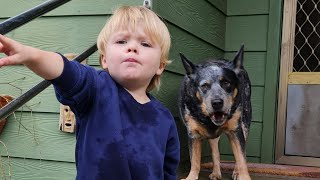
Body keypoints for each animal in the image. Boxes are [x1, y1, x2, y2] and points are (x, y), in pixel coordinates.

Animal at [179, 44, 251, 179]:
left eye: (226, 83)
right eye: (204, 86)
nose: (217, 103)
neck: (208, 120)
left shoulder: (236, 130)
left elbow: (241, 159)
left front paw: (243, 176)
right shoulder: (193, 134)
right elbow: (195, 161)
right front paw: (191, 177)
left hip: (245, 123)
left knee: (242, 154)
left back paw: (236, 172)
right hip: (213, 138)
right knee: (215, 153)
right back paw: (216, 172)